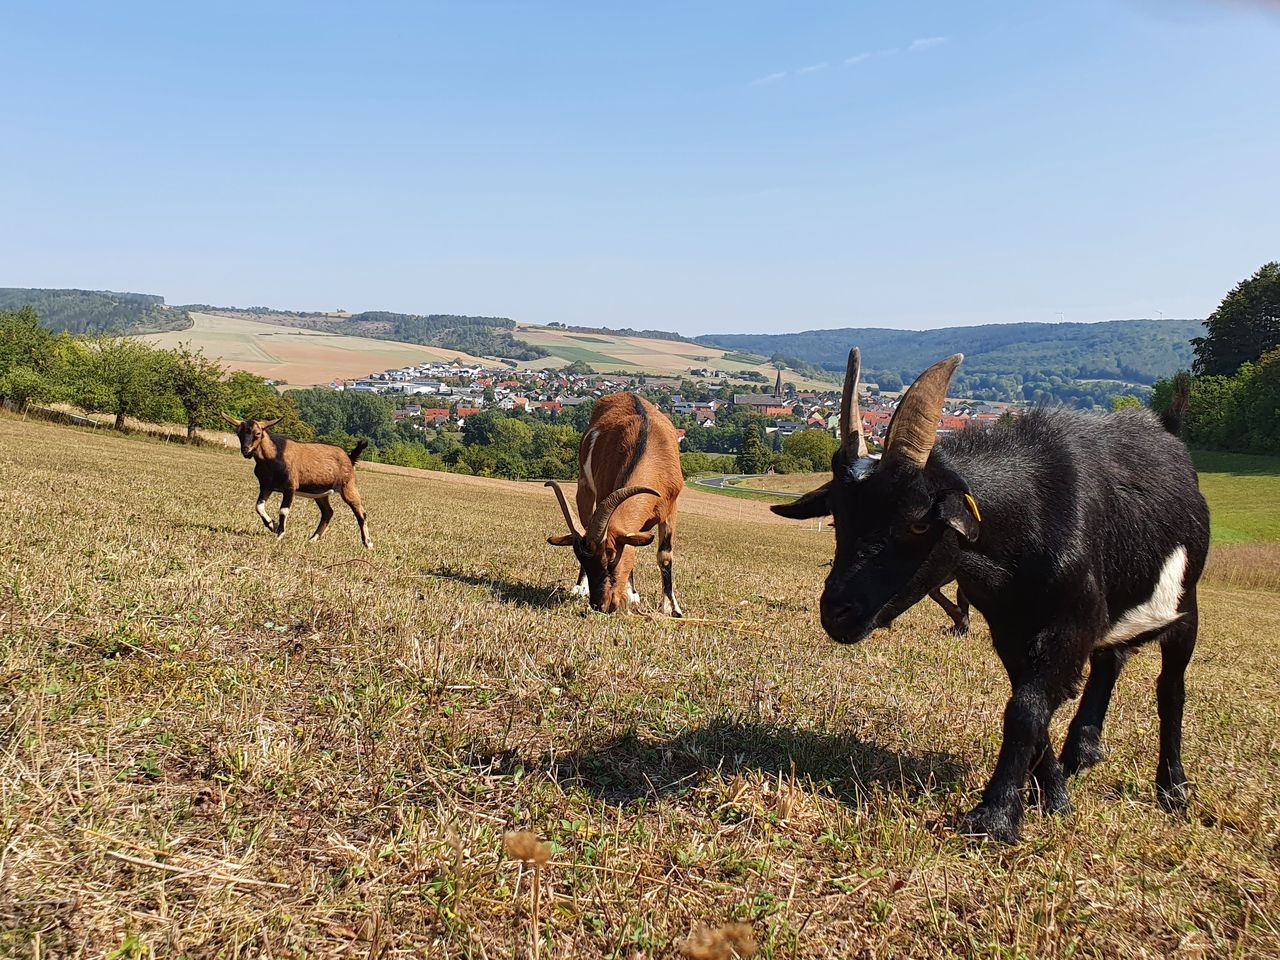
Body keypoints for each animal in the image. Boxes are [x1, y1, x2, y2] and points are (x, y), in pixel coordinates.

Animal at [218, 414, 371, 547]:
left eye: (258, 433)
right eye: (239, 433)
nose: (246, 450)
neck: (274, 455)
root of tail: (350, 458)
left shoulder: (290, 486)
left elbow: (283, 510)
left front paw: (280, 533)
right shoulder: (266, 486)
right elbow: (258, 506)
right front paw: (272, 525)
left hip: (348, 486)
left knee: (360, 513)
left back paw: (368, 543)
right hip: (320, 494)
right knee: (328, 512)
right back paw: (313, 539)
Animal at [550, 391, 691, 611]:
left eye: (611, 554)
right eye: (581, 558)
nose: (600, 605)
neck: (648, 447)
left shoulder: (670, 508)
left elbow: (665, 555)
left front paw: (671, 607)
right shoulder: (604, 493)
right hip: (584, 487)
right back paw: (581, 587)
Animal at [768, 350, 1208, 844]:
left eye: (918, 522)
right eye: (838, 516)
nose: (837, 613)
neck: (1032, 516)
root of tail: (1168, 428)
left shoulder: (1070, 623)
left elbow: (1026, 710)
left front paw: (995, 817)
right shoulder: (1009, 629)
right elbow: (1032, 708)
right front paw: (1053, 799)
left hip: (1185, 606)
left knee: (1170, 689)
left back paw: (1173, 789)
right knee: (1110, 660)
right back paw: (1084, 749)